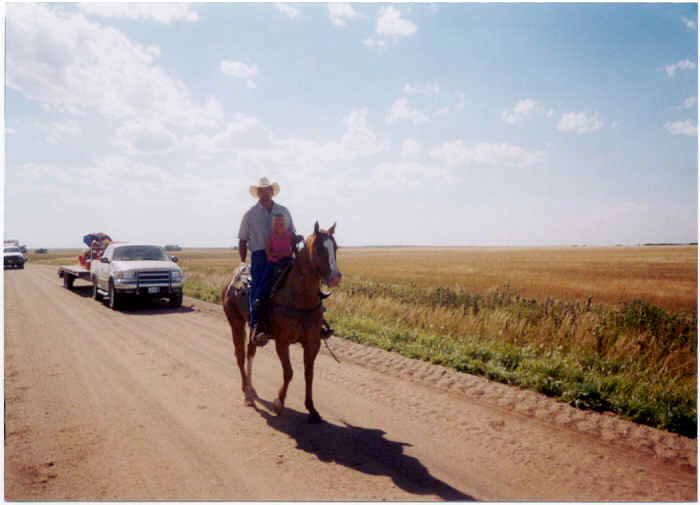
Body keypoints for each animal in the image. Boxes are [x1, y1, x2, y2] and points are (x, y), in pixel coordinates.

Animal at [221, 220, 342, 422]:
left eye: (336, 247)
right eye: (318, 248)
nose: (335, 277)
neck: (299, 296)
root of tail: (233, 277)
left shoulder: (313, 342)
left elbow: (309, 373)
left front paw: (311, 409)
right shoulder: (282, 341)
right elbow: (289, 372)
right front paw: (278, 403)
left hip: (253, 328)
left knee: (250, 352)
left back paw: (252, 390)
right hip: (235, 322)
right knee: (240, 355)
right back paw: (247, 394)